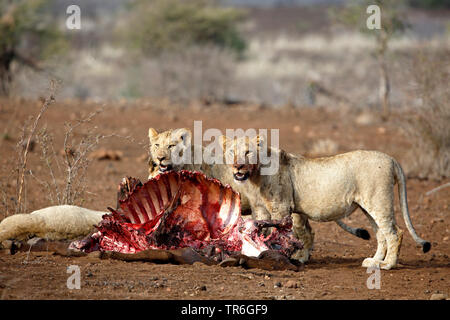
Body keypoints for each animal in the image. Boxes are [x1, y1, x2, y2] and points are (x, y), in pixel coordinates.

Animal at [223, 134, 430, 268]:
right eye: (232, 151)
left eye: (248, 152)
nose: (238, 166)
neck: (256, 175)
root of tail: (392, 159)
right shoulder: (264, 209)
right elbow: (263, 232)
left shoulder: (281, 207)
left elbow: (281, 234)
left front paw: (280, 257)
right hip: (369, 207)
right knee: (381, 234)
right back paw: (374, 261)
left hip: (379, 202)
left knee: (395, 233)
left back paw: (388, 264)